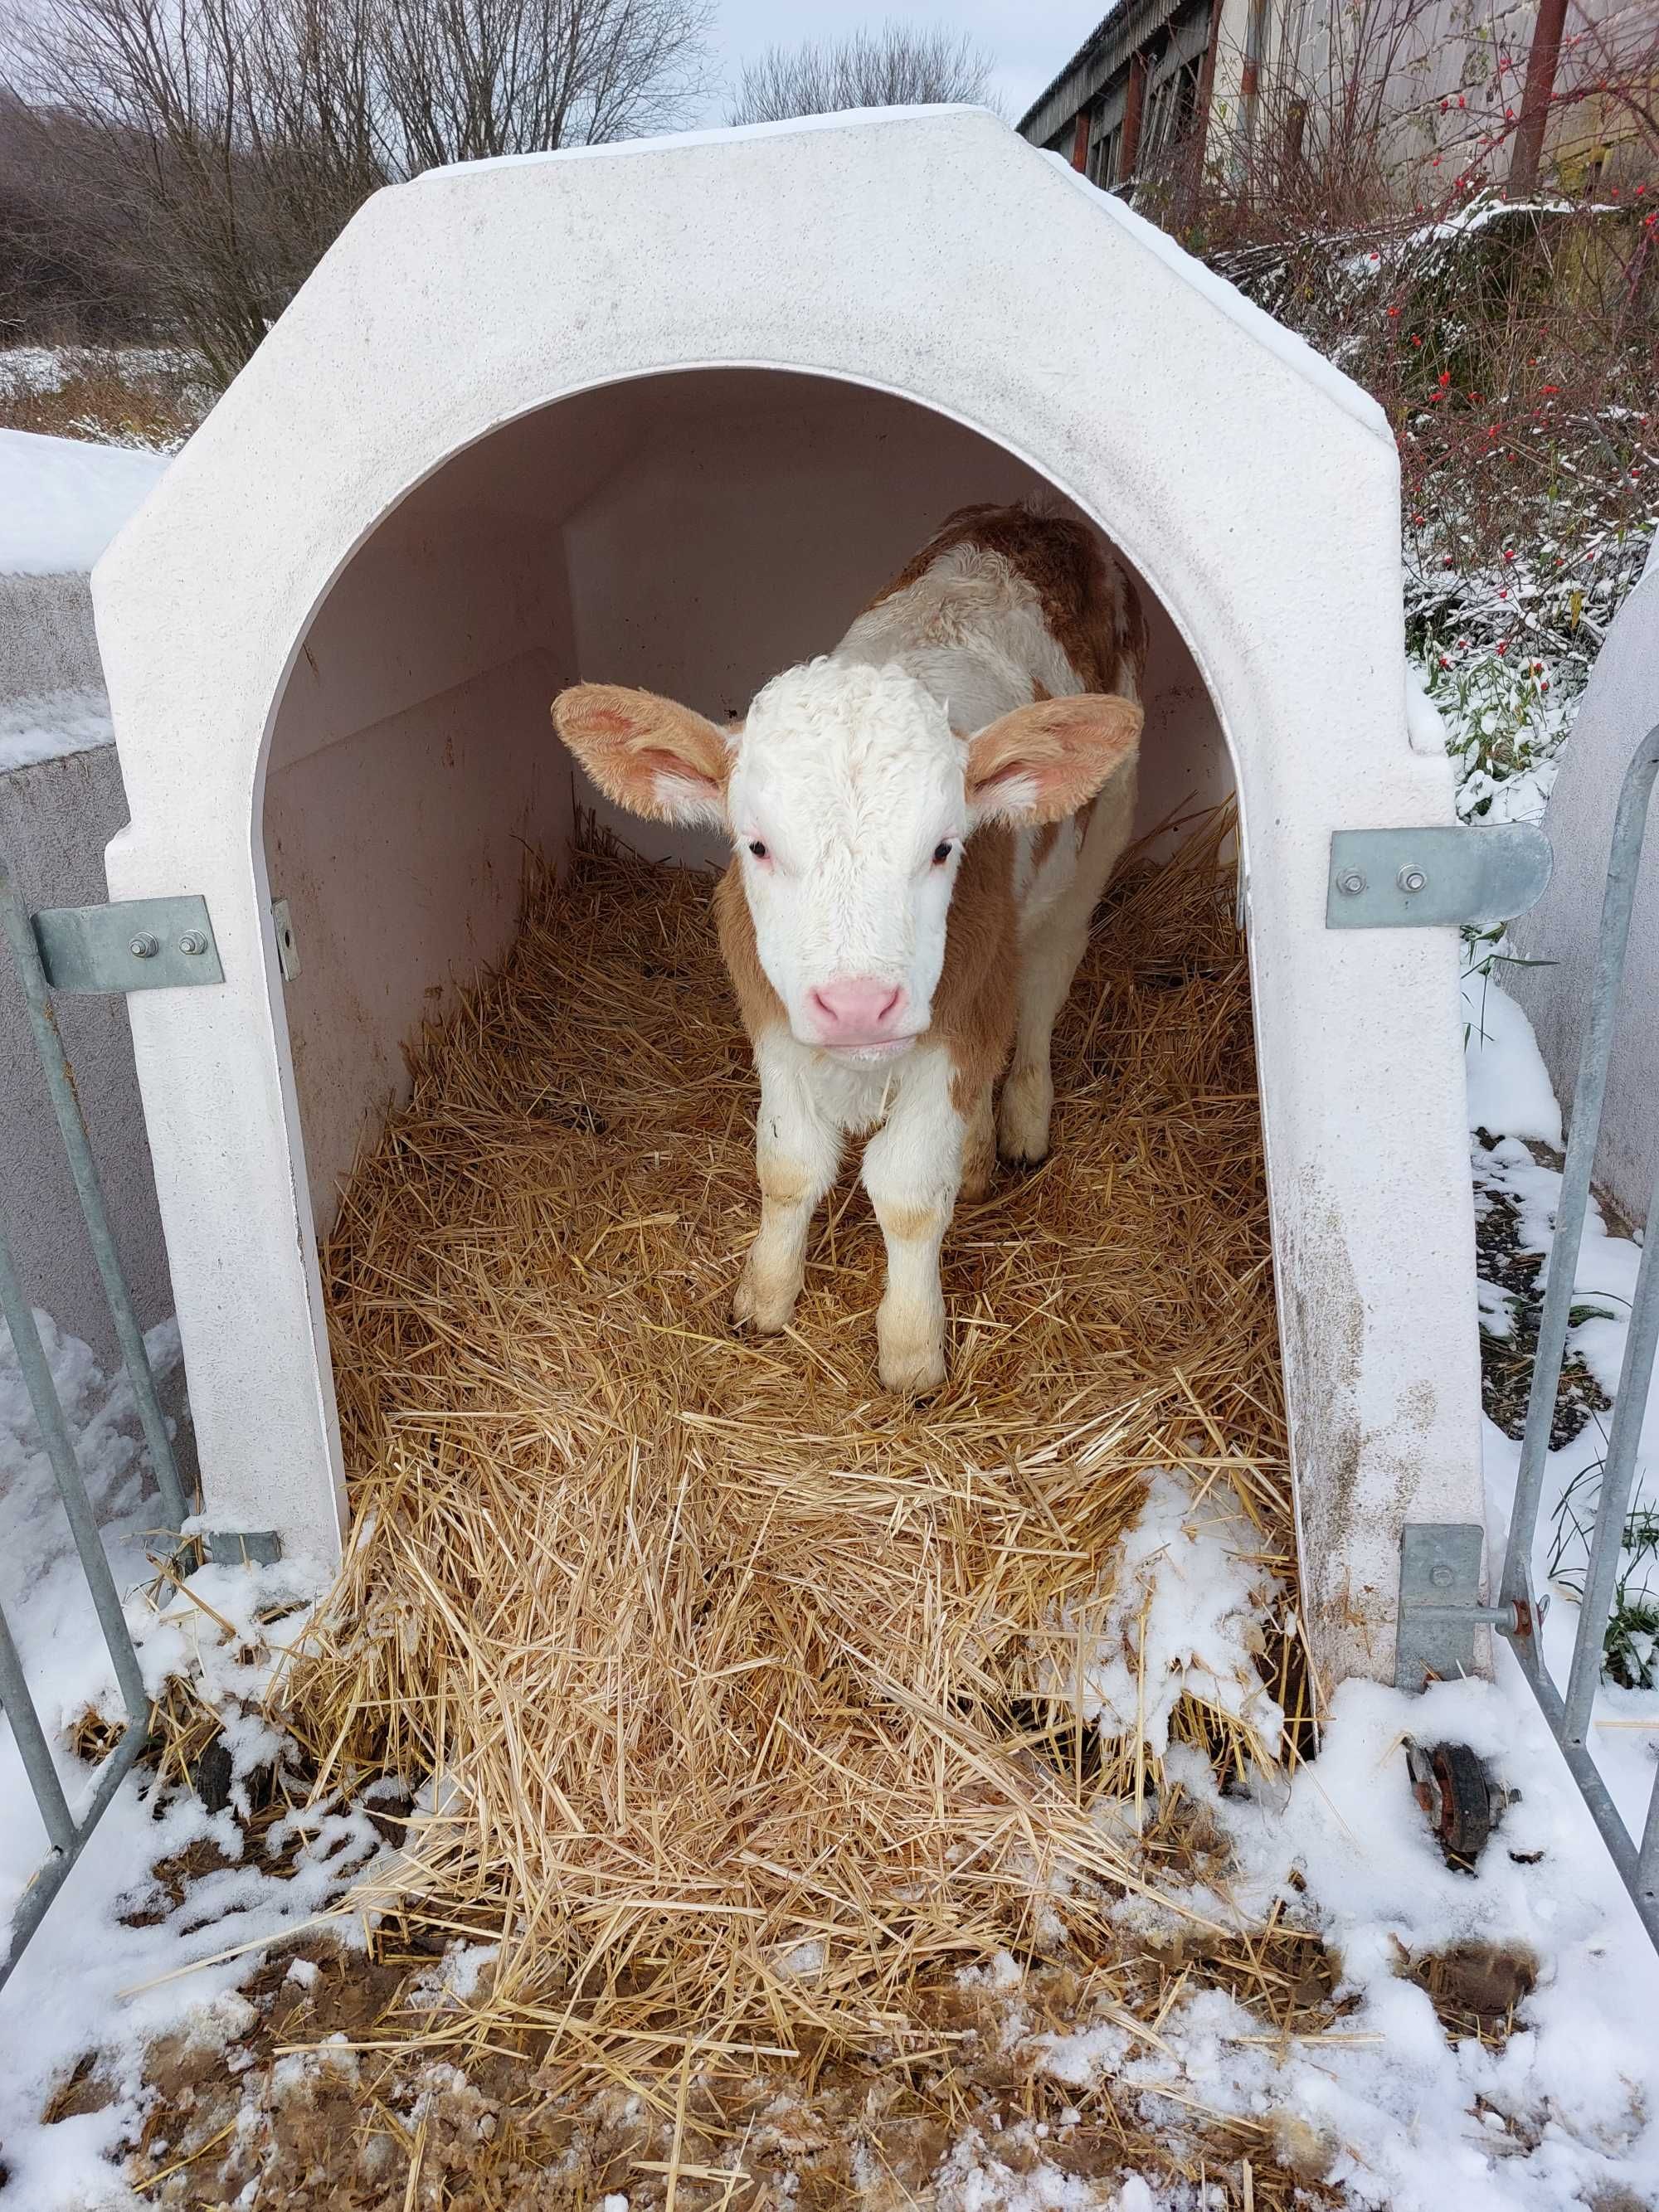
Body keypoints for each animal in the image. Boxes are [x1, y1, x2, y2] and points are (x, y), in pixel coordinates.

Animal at [552, 508, 1150, 1388]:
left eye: (944, 847)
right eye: (757, 845)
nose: (860, 1005)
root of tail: (1036, 517)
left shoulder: (954, 1025)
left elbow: (908, 1190)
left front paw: (911, 1347)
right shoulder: (772, 1016)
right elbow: (788, 1165)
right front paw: (765, 1296)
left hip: (1098, 840)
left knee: (1044, 985)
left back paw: (1021, 1120)